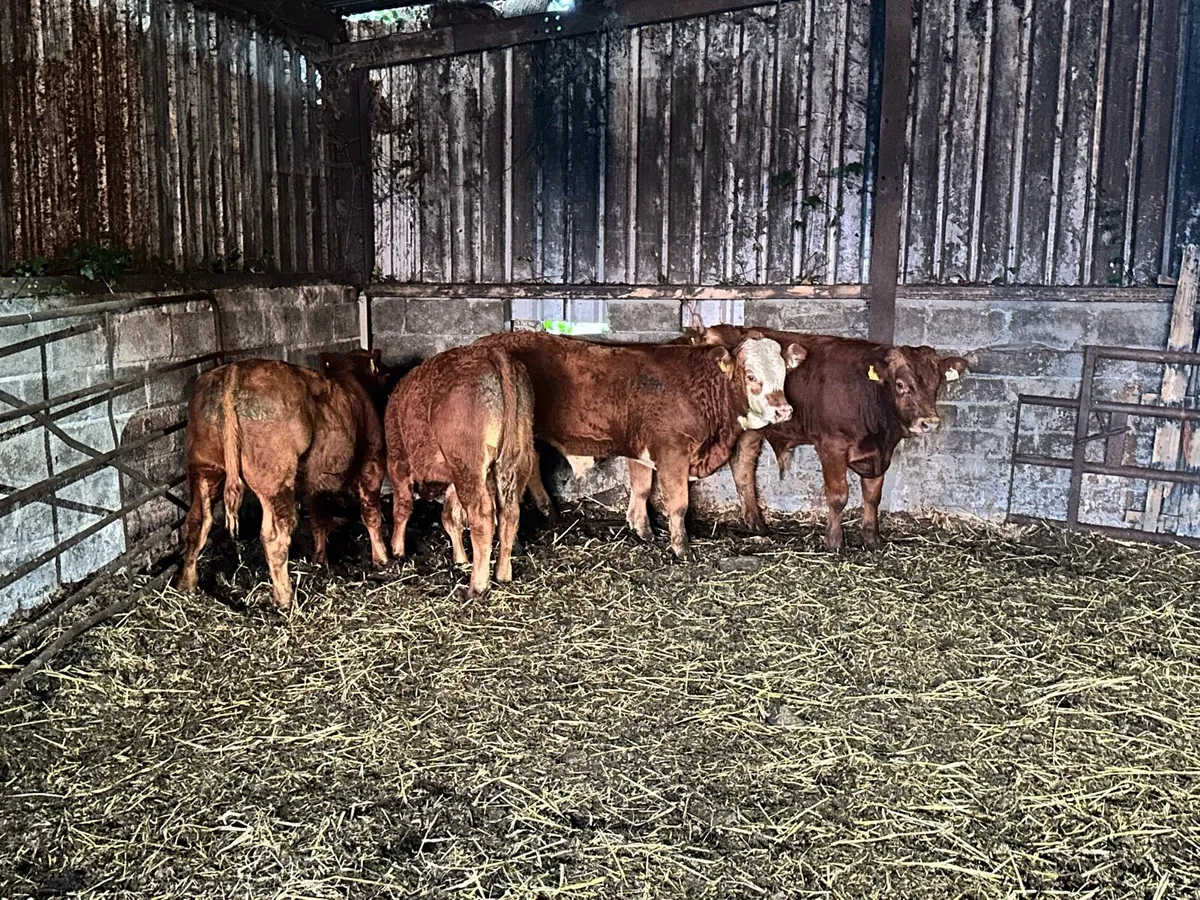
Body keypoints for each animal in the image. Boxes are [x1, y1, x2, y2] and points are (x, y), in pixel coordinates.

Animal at [177, 350, 389, 610]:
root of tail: (234, 371)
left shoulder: (315, 483)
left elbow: (319, 520)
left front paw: (320, 560)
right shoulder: (373, 461)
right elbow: (371, 514)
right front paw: (382, 559)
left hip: (203, 469)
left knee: (197, 522)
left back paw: (186, 584)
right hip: (274, 480)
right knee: (275, 536)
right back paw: (285, 597)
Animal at [384, 344, 541, 597]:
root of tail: (491, 352)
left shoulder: (398, 460)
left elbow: (402, 507)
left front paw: (396, 550)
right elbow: (451, 517)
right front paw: (460, 559)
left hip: (467, 465)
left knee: (482, 516)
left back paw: (478, 586)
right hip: (517, 461)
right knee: (509, 513)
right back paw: (503, 574)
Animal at [473, 330, 805, 560]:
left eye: (784, 374)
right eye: (751, 375)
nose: (783, 411)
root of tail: (488, 342)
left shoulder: (642, 451)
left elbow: (642, 489)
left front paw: (642, 530)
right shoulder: (673, 451)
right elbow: (678, 504)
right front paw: (682, 550)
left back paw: (548, 511)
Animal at [684, 324, 968, 551]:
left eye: (936, 384)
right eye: (901, 385)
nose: (929, 422)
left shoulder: (879, 454)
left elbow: (872, 496)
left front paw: (872, 539)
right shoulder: (832, 446)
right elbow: (838, 495)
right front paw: (834, 541)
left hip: (751, 430)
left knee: (742, 466)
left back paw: (757, 524)